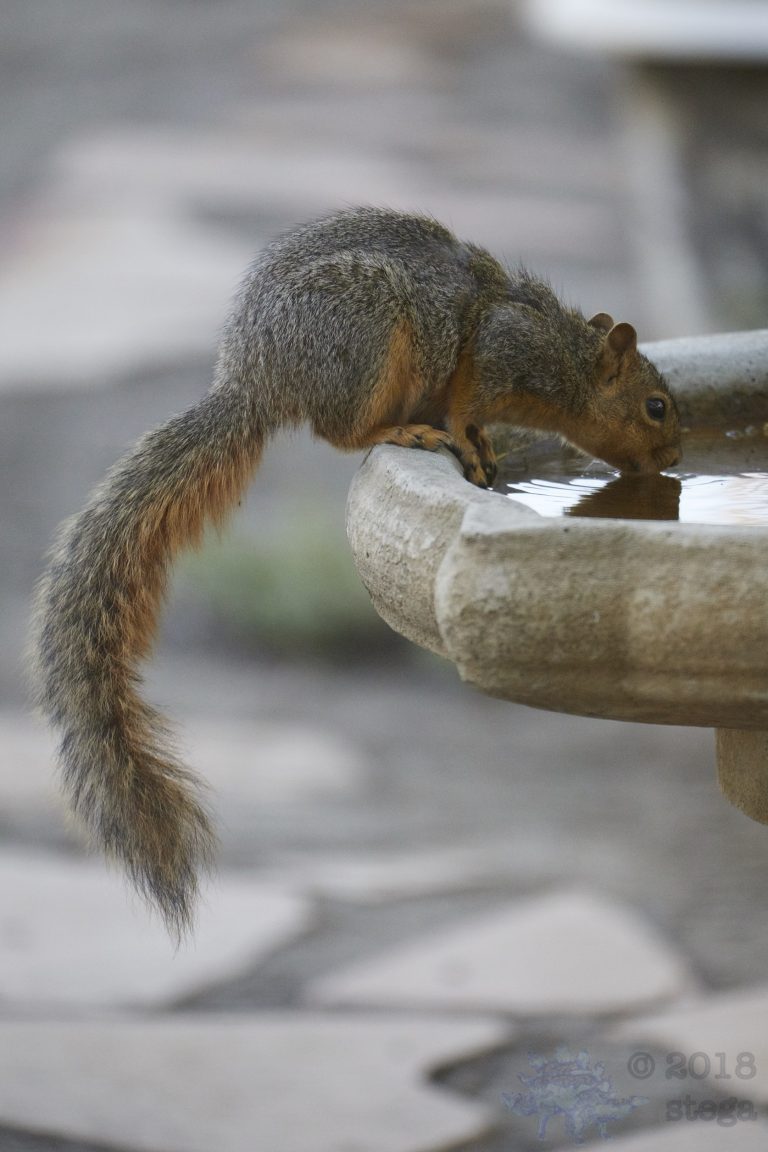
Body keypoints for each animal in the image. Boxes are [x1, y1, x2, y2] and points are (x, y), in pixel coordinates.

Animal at [32, 206, 681, 936]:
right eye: (656, 406)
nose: (675, 458)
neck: (568, 360)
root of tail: (257, 377)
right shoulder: (502, 348)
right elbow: (467, 395)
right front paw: (467, 431)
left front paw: (484, 443)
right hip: (364, 332)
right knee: (339, 429)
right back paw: (402, 432)